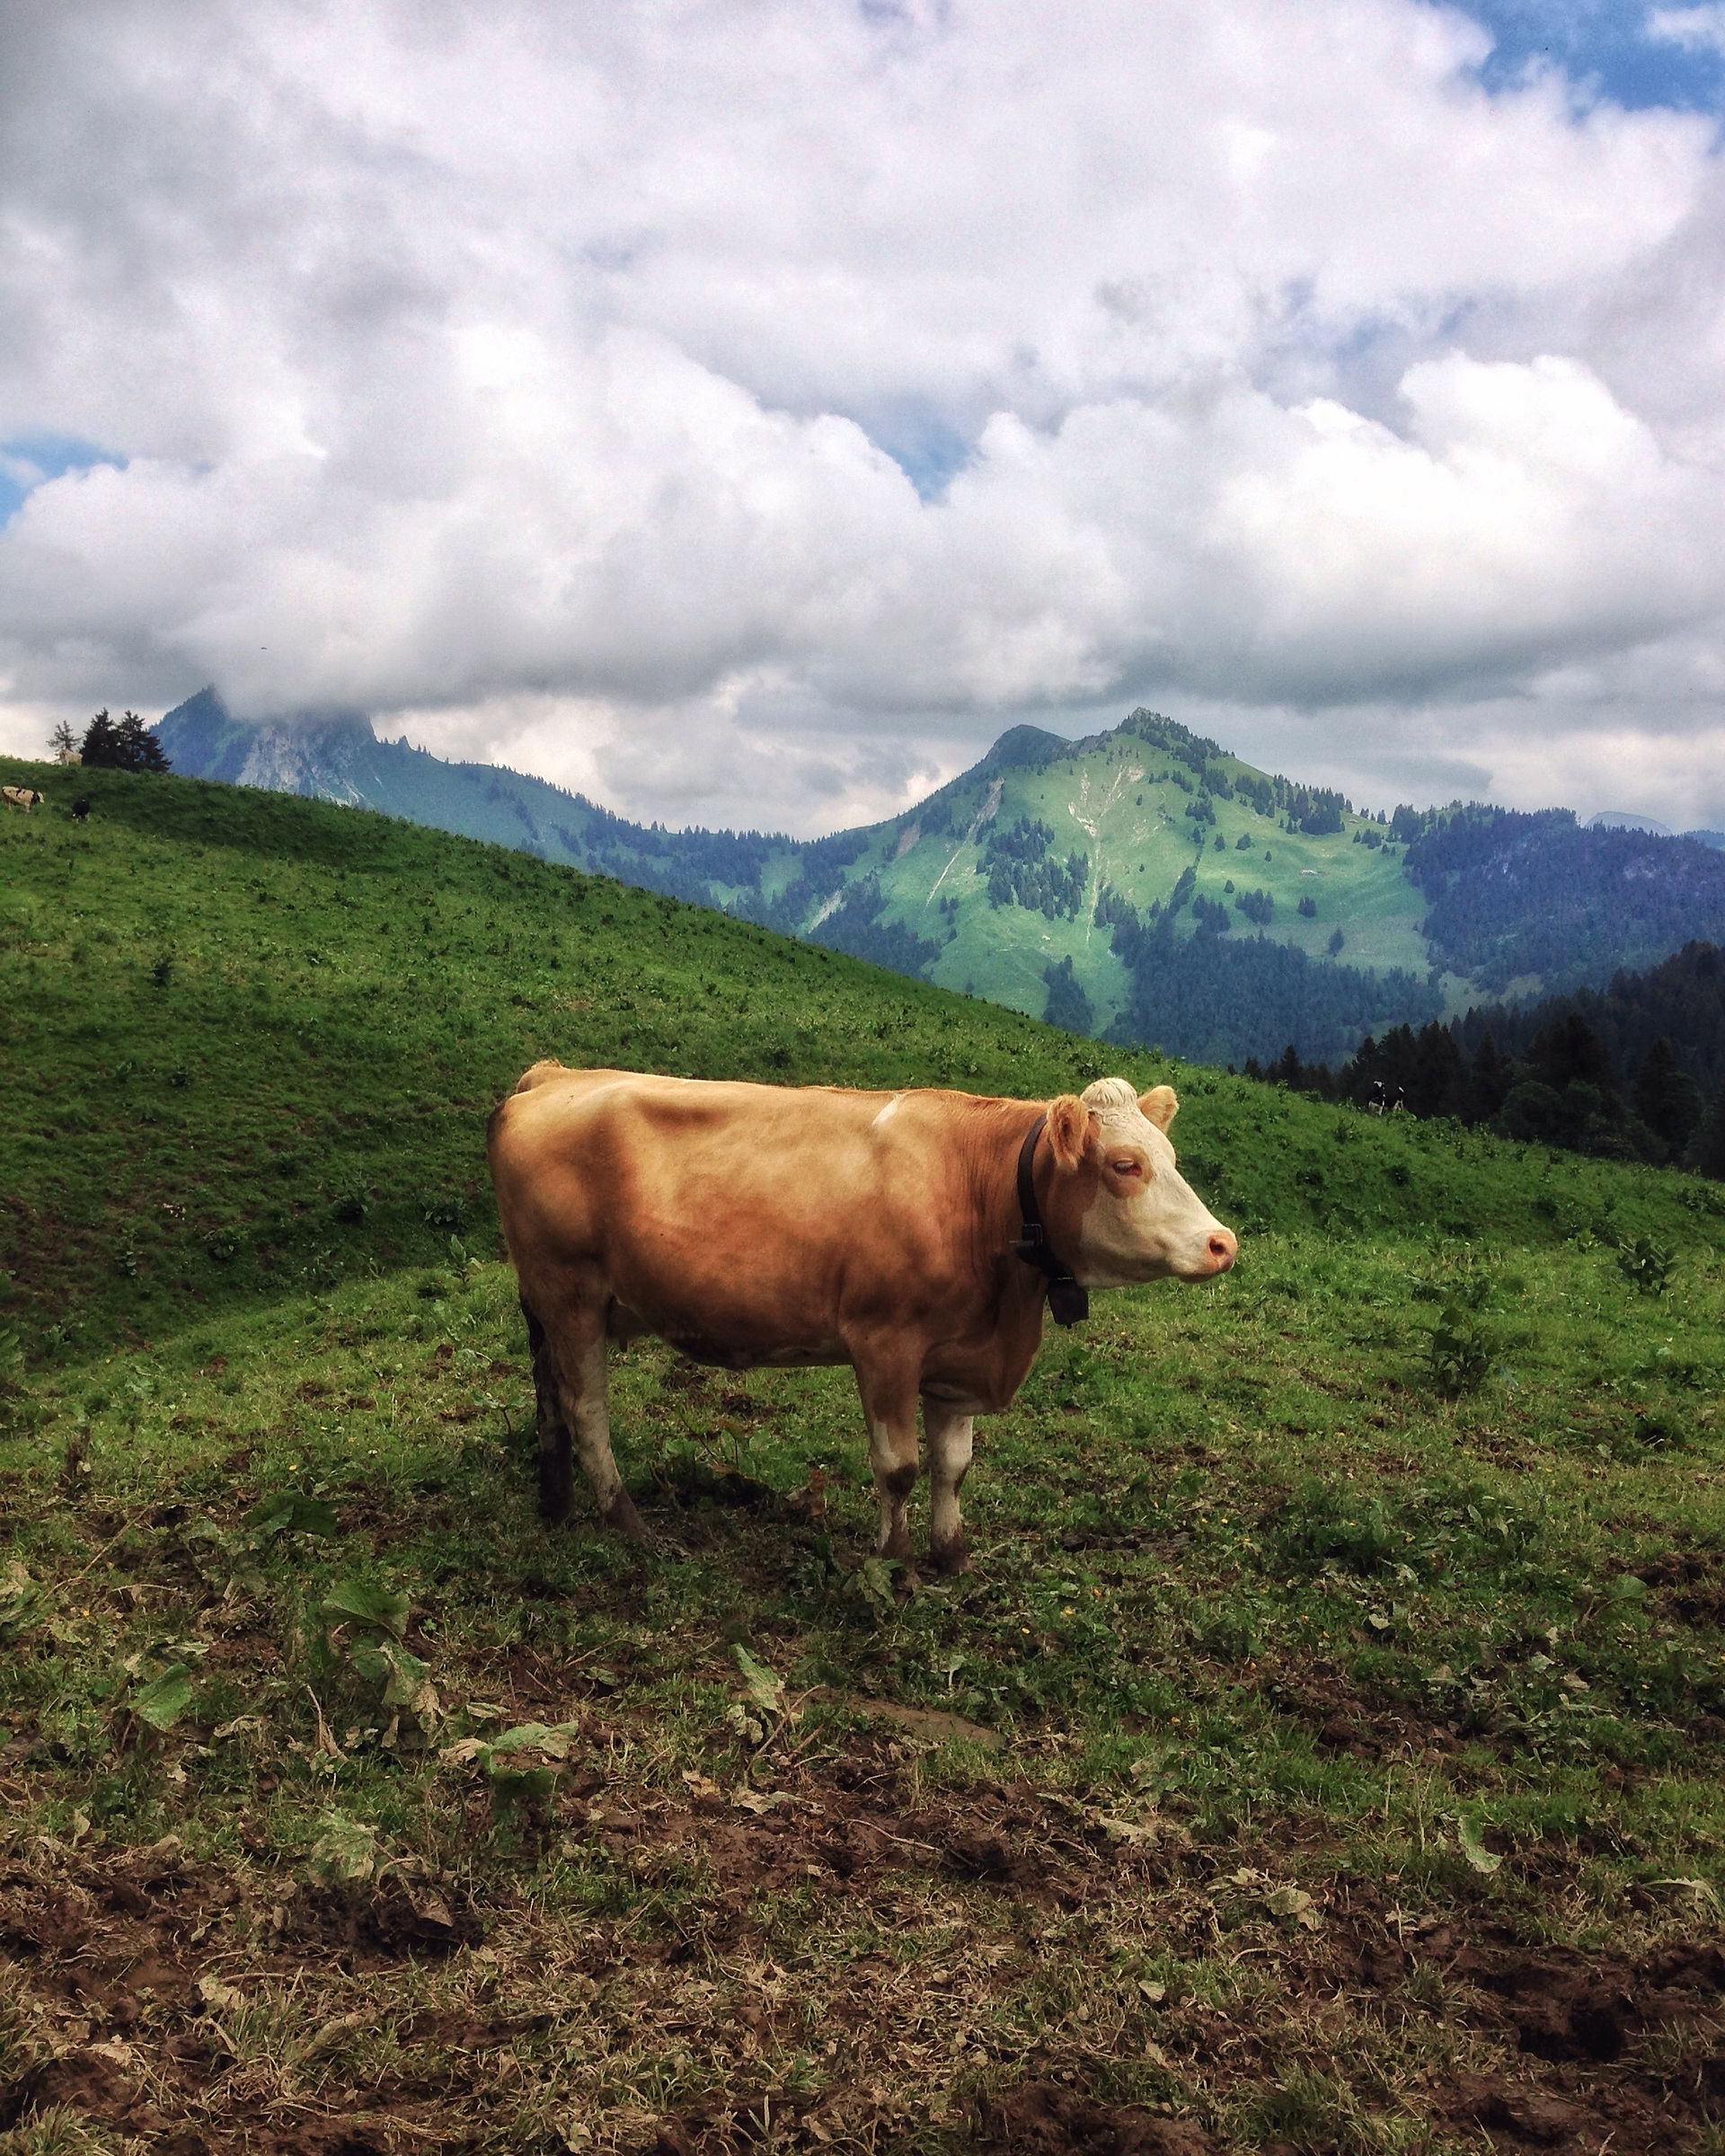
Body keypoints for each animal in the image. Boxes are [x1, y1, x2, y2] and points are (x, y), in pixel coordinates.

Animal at [487, 1066, 1237, 1571]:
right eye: (1125, 1164)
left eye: (1171, 1159)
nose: (1221, 1242)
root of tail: (554, 1075)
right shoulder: (885, 1342)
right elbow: (899, 1466)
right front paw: (894, 1563)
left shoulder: (957, 1358)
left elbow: (954, 1466)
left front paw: (952, 1557)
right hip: (571, 1291)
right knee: (586, 1408)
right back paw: (628, 1523)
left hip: (546, 1302)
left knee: (549, 1394)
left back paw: (557, 1502)